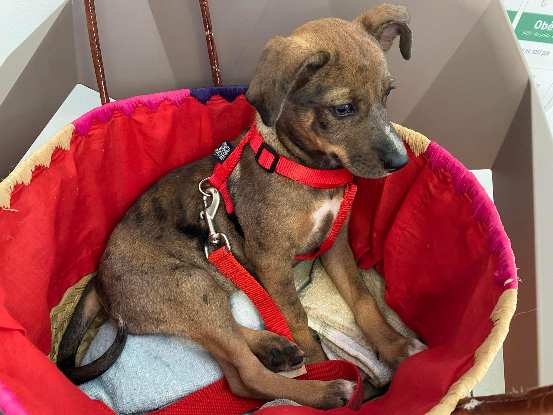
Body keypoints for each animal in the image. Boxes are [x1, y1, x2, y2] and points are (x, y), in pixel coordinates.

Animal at [58, 4, 427, 409]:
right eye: (343, 109)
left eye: (387, 95)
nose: (401, 162)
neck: (306, 170)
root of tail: (100, 278)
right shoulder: (272, 261)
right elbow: (296, 317)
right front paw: (320, 364)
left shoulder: (335, 244)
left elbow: (363, 300)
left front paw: (394, 346)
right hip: (189, 286)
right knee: (244, 377)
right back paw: (325, 389)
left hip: (200, 293)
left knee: (233, 356)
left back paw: (274, 349)